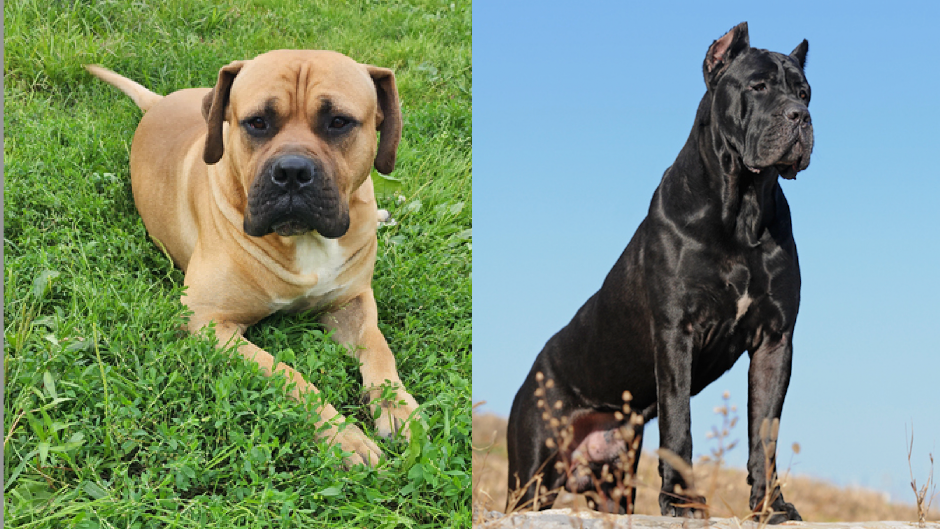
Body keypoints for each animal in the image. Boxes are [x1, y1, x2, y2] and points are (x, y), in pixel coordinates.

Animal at [87, 50, 418, 466]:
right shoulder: (208, 320)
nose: (292, 171)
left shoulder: (352, 300)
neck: (303, 241)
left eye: (339, 122)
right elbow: (289, 375)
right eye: (257, 123)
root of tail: (159, 102)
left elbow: (377, 345)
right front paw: (343, 436)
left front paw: (396, 405)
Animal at [510, 22, 812, 520]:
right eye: (759, 87)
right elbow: (678, 424)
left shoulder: (774, 339)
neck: (744, 209)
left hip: (612, 482)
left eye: (805, 93)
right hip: (531, 474)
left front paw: (771, 505)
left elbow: (764, 434)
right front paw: (681, 501)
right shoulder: (676, 330)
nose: (800, 116)